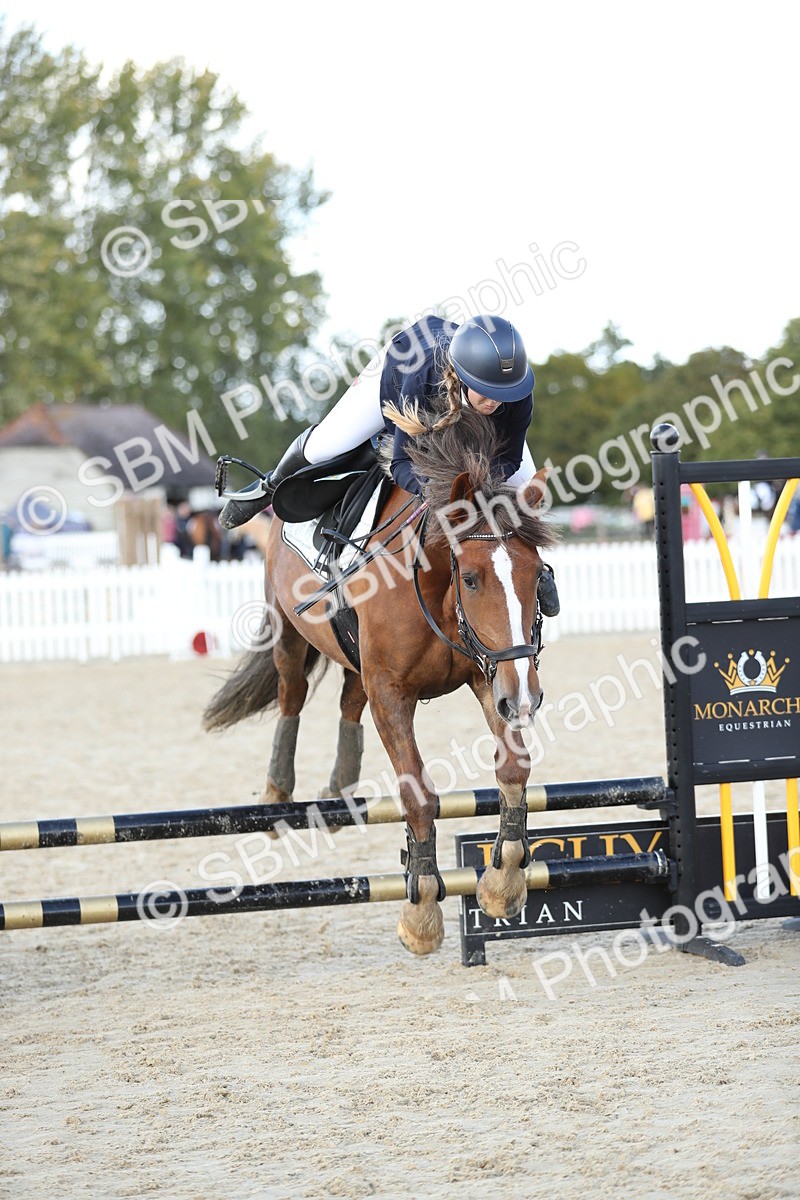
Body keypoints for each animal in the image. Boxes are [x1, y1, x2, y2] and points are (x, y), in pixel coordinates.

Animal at [203, 407, 557, 955]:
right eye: (471, 578)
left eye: (537, 574)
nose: (525, 698)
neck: (432, 584)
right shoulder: (393, 692)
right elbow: (420, 794)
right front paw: (421, 912)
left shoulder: (488, 675)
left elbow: (514, 769)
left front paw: (504, 883)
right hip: (287, 632)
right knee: (292, 696)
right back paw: (277, 795)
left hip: (359, 660)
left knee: (349, 703)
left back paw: (341, 788)